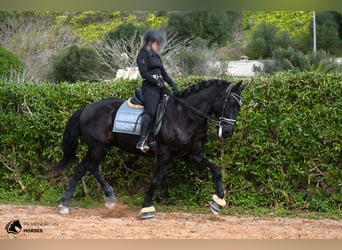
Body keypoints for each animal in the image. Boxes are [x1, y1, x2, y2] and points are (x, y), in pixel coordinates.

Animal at [52, 79, 244, 219]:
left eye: (239, 106)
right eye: (229, 103)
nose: (228, 132)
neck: (186, 115)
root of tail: (87, 108)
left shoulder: (193, 155)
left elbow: (216, 170)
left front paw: (218, 202)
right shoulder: (164, 155)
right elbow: (155, 181)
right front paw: (146, 209)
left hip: (96, 147)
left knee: (82, 169)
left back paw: (66, 204)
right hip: (99, 147)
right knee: (91, 167)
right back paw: (107, 198)